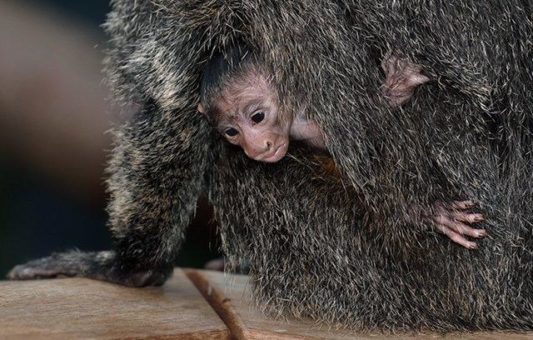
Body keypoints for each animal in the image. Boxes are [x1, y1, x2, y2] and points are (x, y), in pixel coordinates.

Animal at [197, 47, 484, 250]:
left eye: (257, 117)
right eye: (232, 132)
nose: (256, 147)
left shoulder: (311, 121)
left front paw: (395, 88)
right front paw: (428, 213)